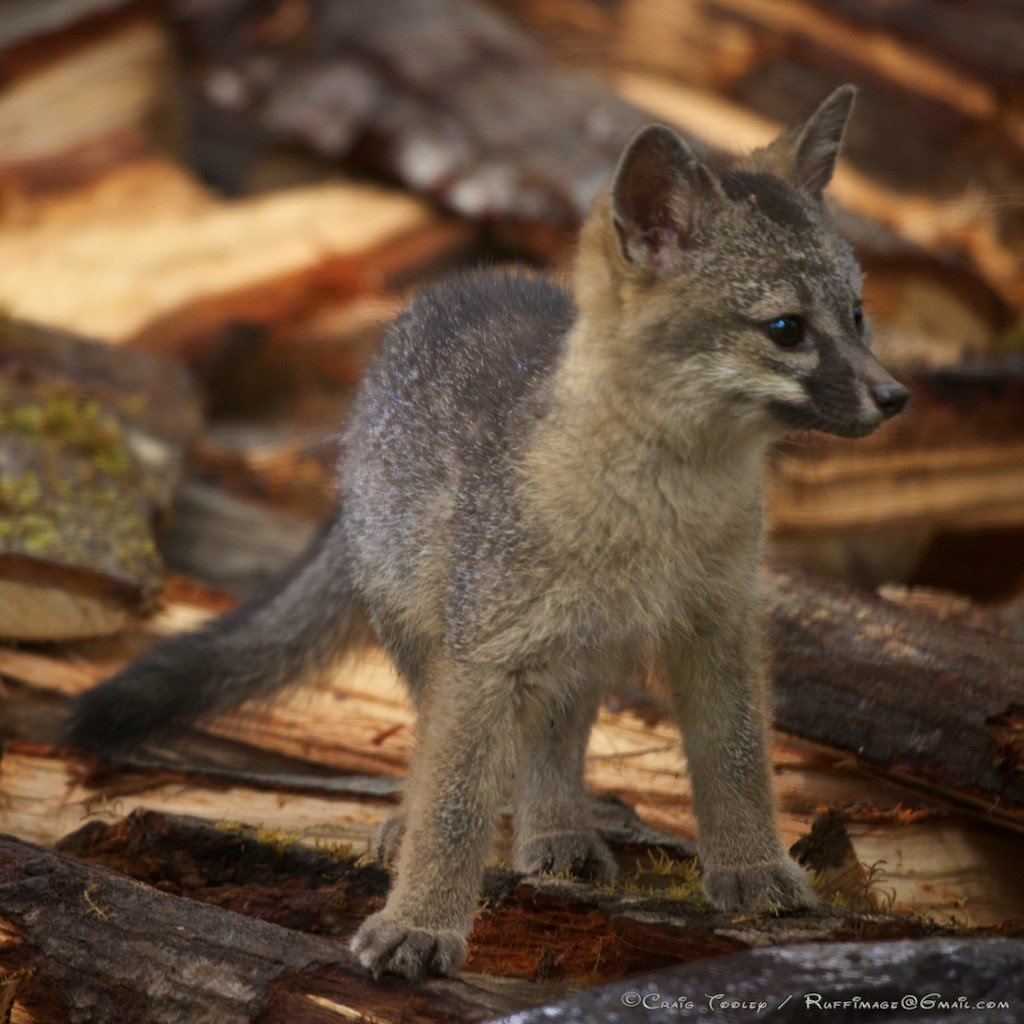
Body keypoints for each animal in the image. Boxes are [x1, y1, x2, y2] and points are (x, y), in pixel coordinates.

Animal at [68, 88, 909, 983]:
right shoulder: (483, 652)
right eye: (787, 329)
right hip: (435, 631)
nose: (897, 397)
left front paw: (753, 867)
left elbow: (738, 761)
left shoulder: (717, 630)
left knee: (553, 740)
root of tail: (466, 283)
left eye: (858, 316)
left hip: (567, 652)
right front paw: (421, 919)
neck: (659, 512)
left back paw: (557, 831)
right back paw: (426, 828)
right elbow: (455, 800)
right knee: (451, 739)